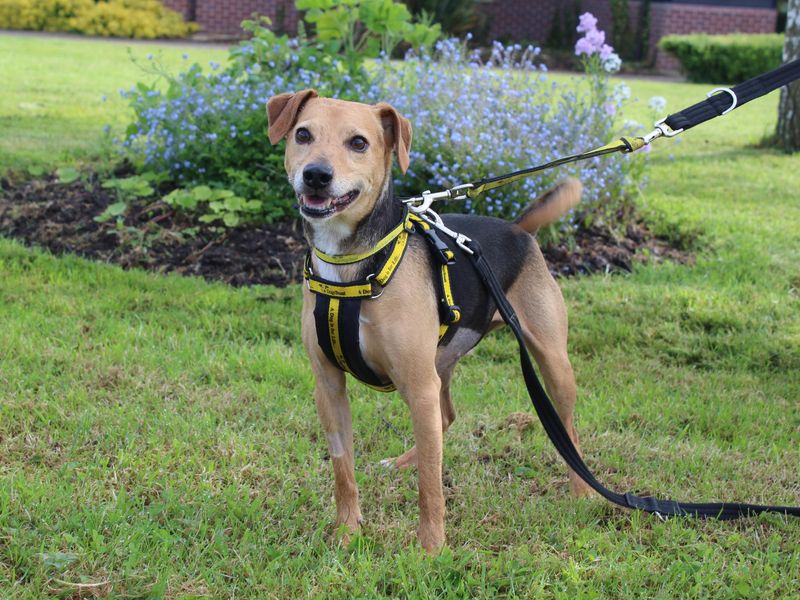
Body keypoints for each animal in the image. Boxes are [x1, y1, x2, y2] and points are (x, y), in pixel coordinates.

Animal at [266, 88, 592, 552]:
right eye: (303, 135)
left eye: (359, 143)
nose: (316, 175)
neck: (352, 263)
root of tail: (517, 229)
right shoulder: (329, 386)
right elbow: (343, 469)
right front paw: (347, 532)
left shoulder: (418, 385)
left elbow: (430, 486)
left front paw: (431, 550)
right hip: (438, 365)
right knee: (444, 419)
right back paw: (405, 460)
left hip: (551, 362)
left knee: (567, 430)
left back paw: (582, 491)